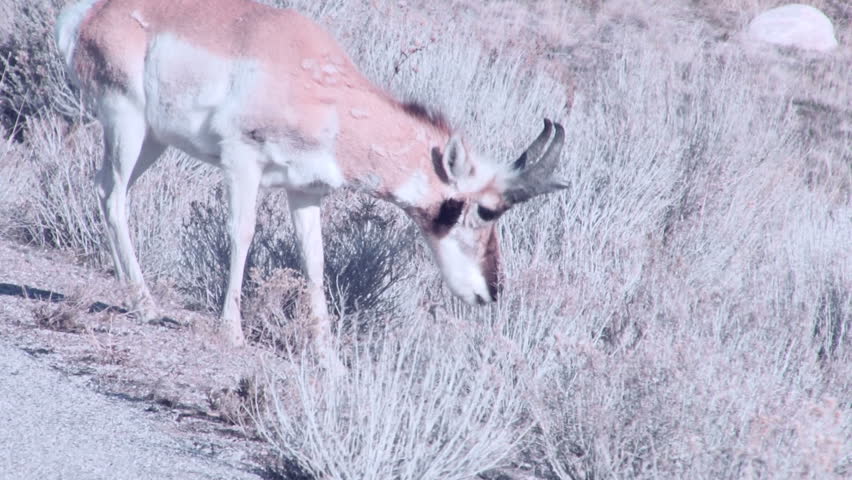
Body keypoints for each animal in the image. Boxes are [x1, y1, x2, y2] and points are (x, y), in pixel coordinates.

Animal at [56, 0, 568, 347]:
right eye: (485, 210)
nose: (492, 292)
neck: (327, 94)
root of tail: (92, 13)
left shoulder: (306, 193)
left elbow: (315, 261)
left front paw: (329, 358)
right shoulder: (242, 163)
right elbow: (242, 233)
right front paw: (232, 332)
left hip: (153, 140)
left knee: (108, 191)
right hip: (127, 122)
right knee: (113, 195)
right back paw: (145, 304)